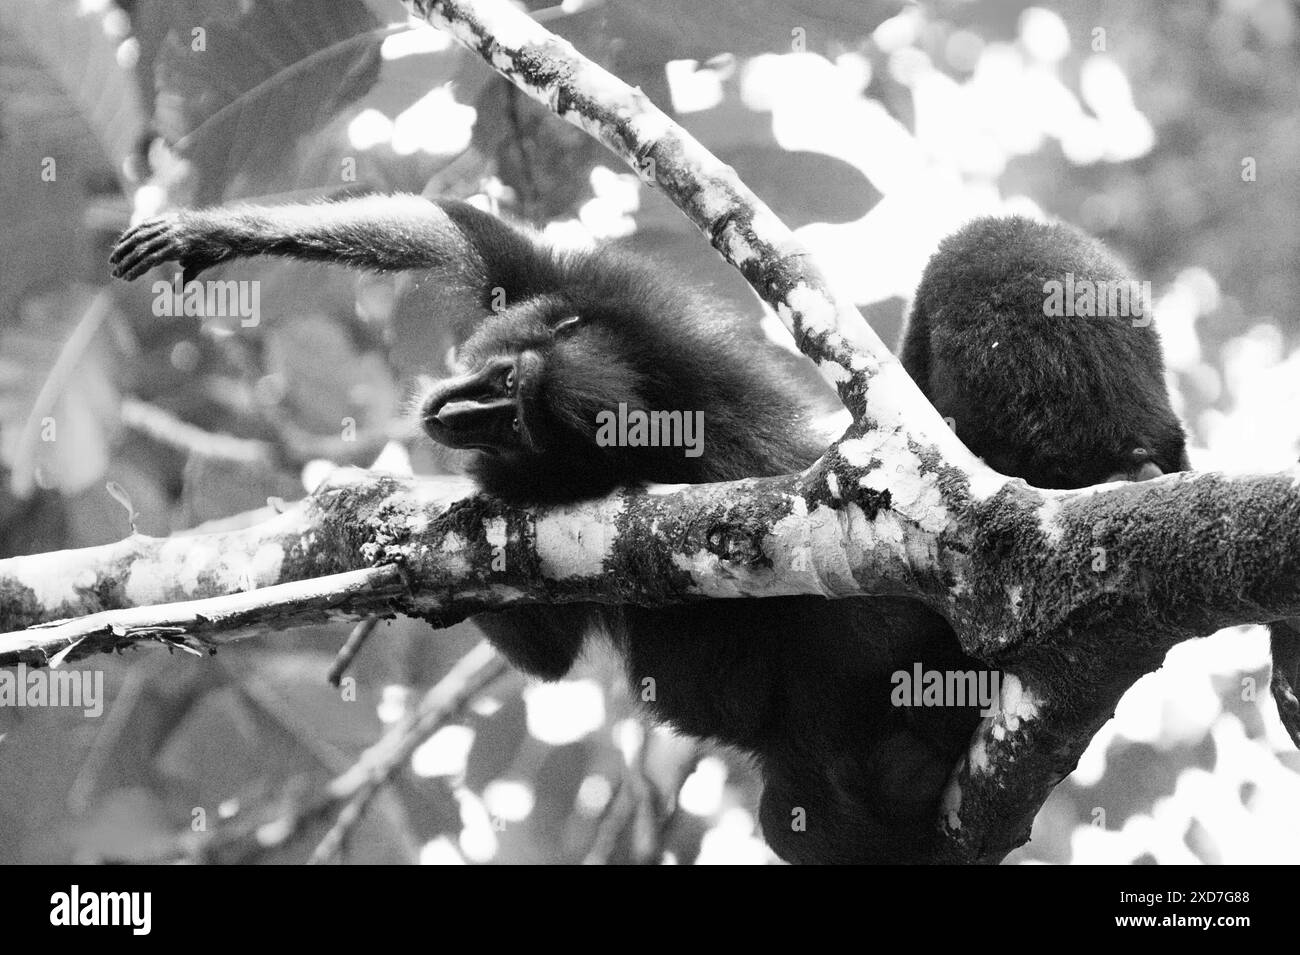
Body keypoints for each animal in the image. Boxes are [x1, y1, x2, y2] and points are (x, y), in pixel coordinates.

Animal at [116, 197, 1190, 862]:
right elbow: (455, 225)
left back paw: (1131, 466)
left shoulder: (632, 325)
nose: (469, 404)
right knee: (799, 819)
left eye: (505, 396)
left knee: (990, 249)